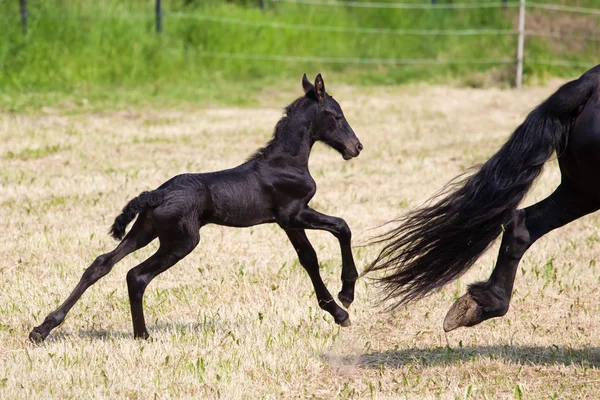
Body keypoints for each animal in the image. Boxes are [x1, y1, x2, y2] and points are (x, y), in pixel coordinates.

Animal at [30, 73, 364, 342]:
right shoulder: (294, 213)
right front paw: (346, 296)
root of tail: (156, 193)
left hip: (145, 231)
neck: (286, 162)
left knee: (102, 264)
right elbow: (342, 227)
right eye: (336, 116)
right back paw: (142, 335)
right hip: (181, 241)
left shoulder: (287, 222)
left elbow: (309, 259)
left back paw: (43, 329)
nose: (356, 147)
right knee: (136, 275)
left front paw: (337, 313)